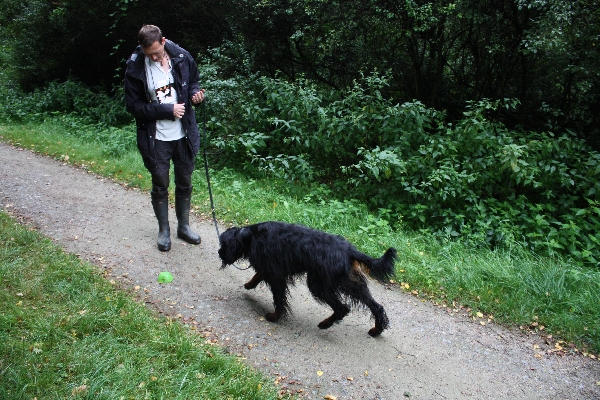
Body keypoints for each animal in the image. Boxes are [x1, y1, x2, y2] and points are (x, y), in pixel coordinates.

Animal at [218, 221, 397, 336]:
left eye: (223, 245)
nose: (219, 253)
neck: (250, 236)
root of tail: (348, 249)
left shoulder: (276, 275)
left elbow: (278, 299)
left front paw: (275, 317)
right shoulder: (271, 268)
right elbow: (258, 275)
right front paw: (249, 284)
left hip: (319, 284)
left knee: (342, 308)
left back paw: (325, 324)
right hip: (349, 283)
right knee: (375, 306)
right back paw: (377, 329)